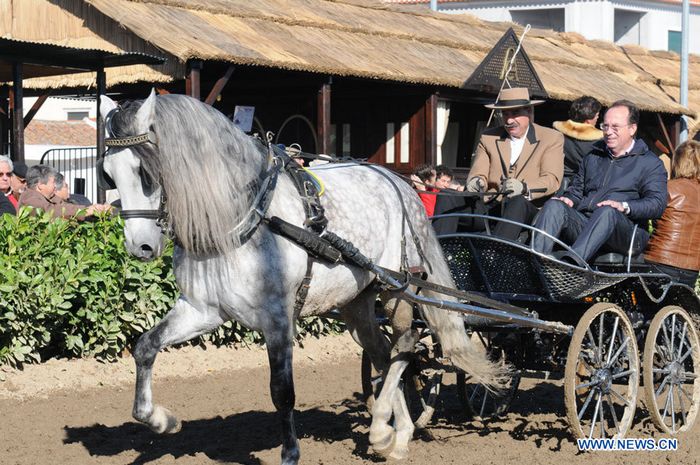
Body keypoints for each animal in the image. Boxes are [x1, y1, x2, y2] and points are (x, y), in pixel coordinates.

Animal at [98, 91, 504, 464]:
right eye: (108, 174)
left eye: (145, 173)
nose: (140, 247)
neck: (242, 217)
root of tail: (400, 183)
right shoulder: (202, 310)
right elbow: (145, 347)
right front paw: (162, 419)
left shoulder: (278, 318)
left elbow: (282, 391)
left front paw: (290, 453)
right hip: (357, 302)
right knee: (383, 353)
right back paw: (392, 432)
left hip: (399, 288)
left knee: (406, 344)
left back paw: (385, 427)